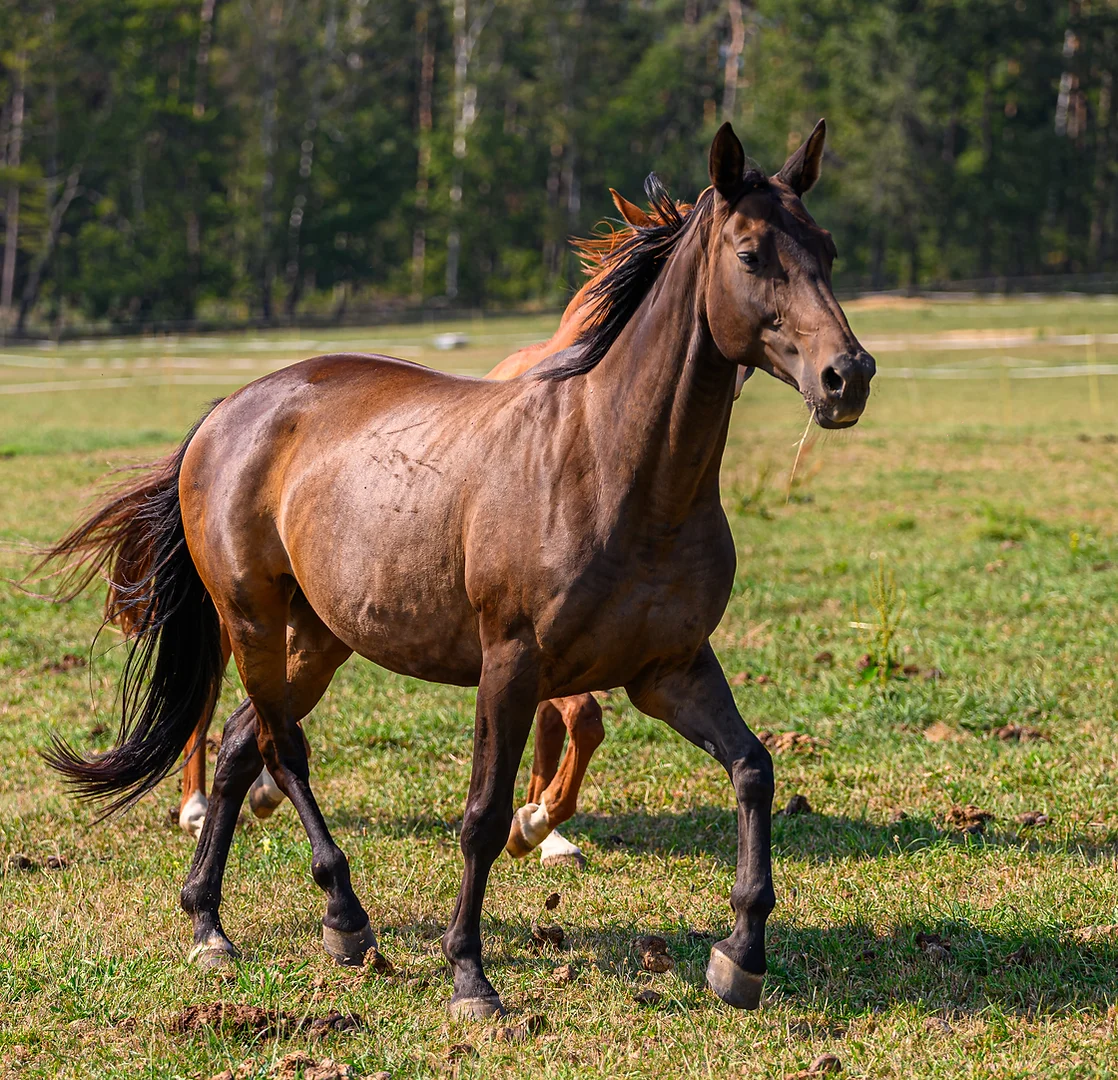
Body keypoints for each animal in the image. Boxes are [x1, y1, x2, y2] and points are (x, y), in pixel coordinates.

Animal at [39, 122, 872, 1019]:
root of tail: (226, 412)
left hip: (321, 637)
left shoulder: (670, 670)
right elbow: (484, 814)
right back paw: (340, 916)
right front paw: (470, 975)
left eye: (827, 249)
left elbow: (753, 769)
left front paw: (740, 956)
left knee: (237, 746)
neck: (615, 468)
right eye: (751, 254)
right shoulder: (511, 665)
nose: (847, 376)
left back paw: (212, 924)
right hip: (253, 619)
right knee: (280, 748)